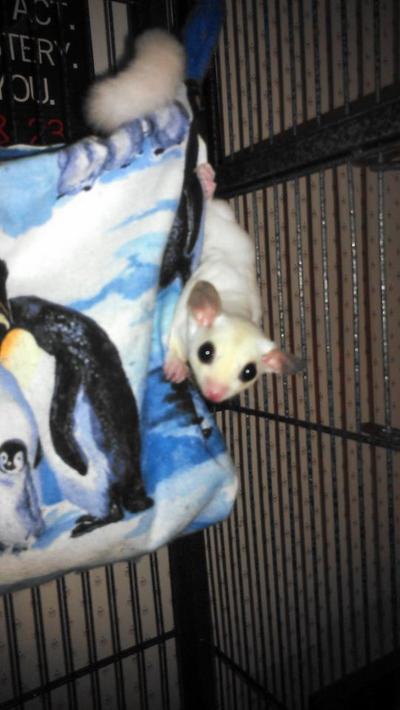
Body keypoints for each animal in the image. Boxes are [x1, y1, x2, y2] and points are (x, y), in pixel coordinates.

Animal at [163, 164, 303, 402]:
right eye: (206, 352)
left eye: (249, 372)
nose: (213, 395)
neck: (235, 303)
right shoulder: (185, 316)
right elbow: (175, 333)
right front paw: (176, 365)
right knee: (210, 206)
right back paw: (205, 184)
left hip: (227, 215)